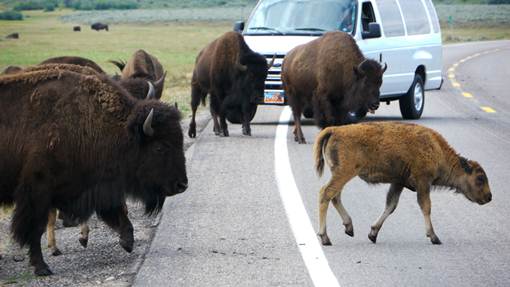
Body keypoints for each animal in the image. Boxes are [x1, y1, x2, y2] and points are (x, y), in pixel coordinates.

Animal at [0, 67, 187, 276]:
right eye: (159, 147)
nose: (182, 184)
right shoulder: (38, 191)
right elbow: (35, 229)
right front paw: (41, 267)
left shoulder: (98, 185)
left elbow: (118, 211)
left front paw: (127, 242)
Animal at [312, 122, 492, 246]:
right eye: (480, 178)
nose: (489, 197)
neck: (437, 149)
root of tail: (334, 129)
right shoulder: (423, 182)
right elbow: (426, 207)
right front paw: (434, 237)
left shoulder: (398, 183)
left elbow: (391, 206)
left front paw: (373, 234)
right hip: (344, 174)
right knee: (325, 193)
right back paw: (325, 238)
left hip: (341, 174)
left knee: (335, 197)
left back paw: (349, 228)